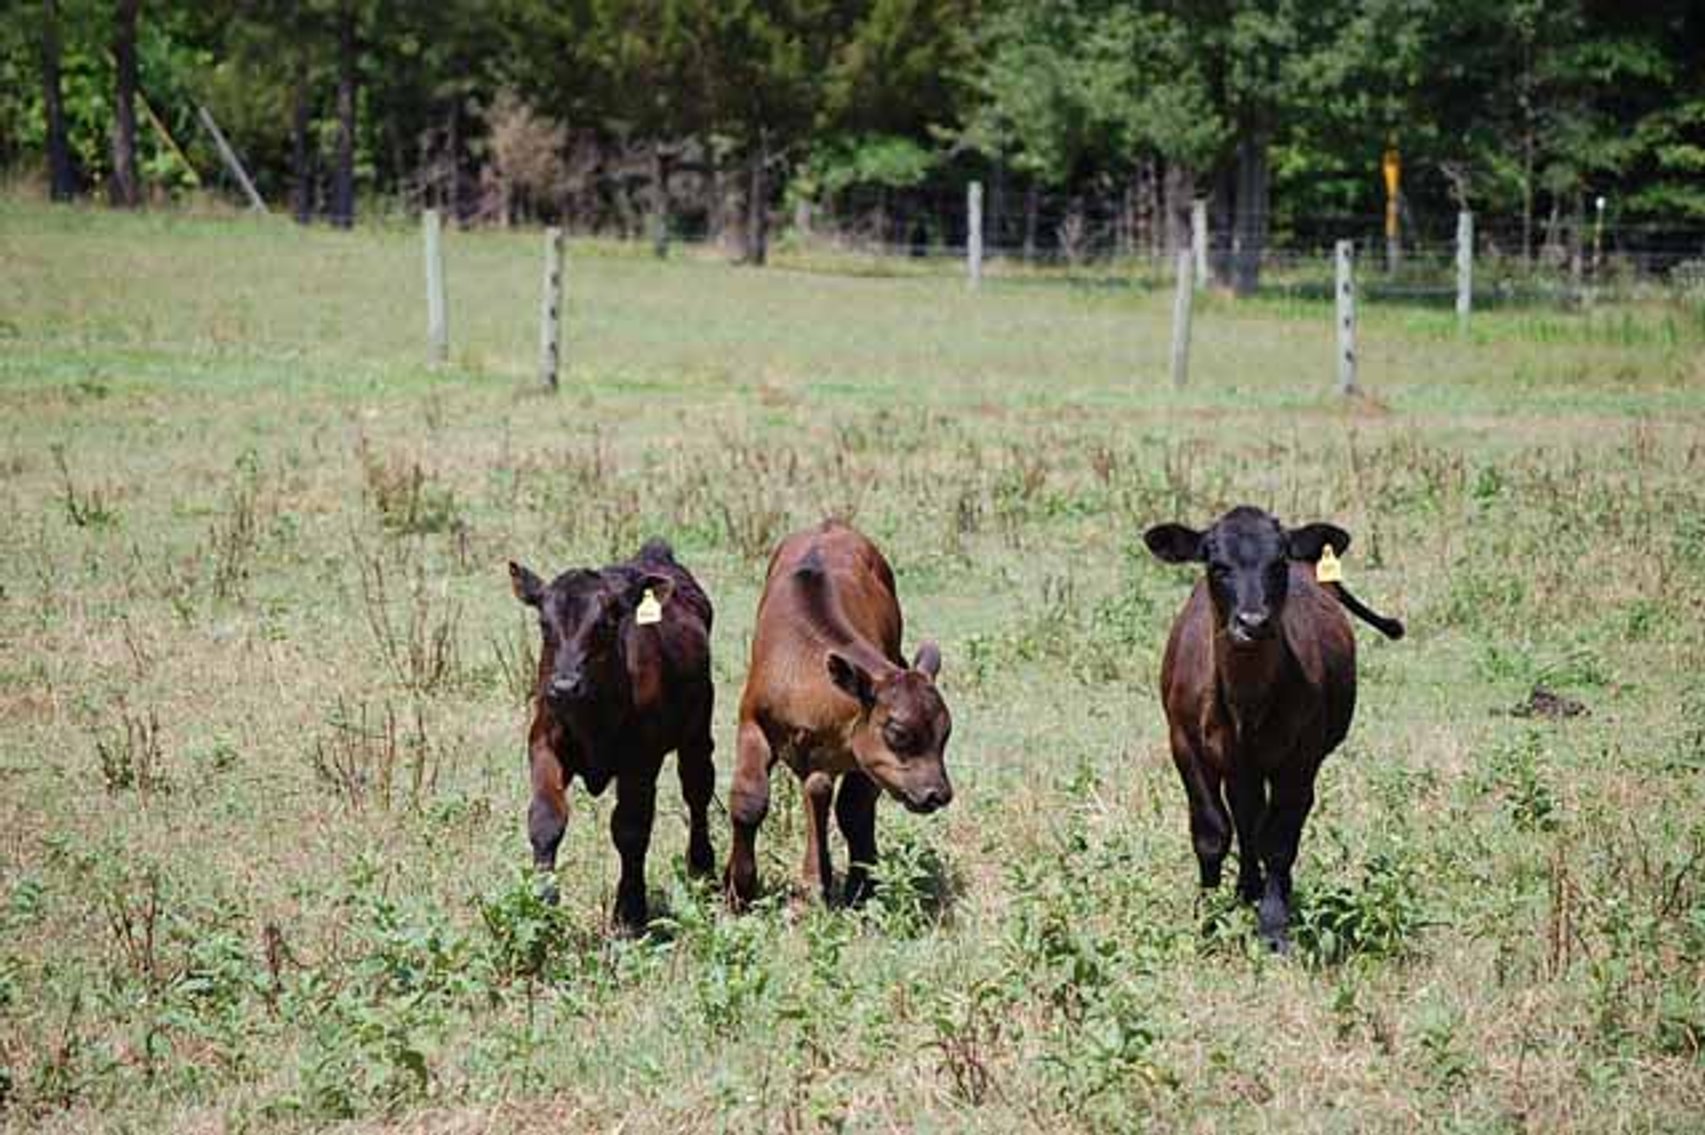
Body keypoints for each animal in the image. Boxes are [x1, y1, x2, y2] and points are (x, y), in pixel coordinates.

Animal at [508, 538, 715, 932]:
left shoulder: (641, 761)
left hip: (698, 732)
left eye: (605, 623)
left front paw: (629, 913)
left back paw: (702, 870)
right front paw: (542, 905)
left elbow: (630, 830)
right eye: (544, 623)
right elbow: (545, 818)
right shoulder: (543, 742)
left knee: (698, 791)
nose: (565, 686)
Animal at [725, 520, 953, 909]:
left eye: (946, 734)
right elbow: (749, 800)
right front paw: (738, 890)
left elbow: (852, 810)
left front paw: (858, 887)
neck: (802, 677)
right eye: (898, 732)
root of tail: (830, 525)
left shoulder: (865, 755)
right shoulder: (751, 720)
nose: (937, 794)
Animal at [1143, 506, 1404, 950]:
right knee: (1245, 815)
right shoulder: (1185, 744)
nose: (1253, 622)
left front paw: (1274, 926)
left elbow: (1279, 840)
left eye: (1278, 563)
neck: (1244, 704)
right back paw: (1245, 890)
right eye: (1217, 565)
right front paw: (1206, 918)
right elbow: (1211, 833)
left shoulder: (1301, 757)